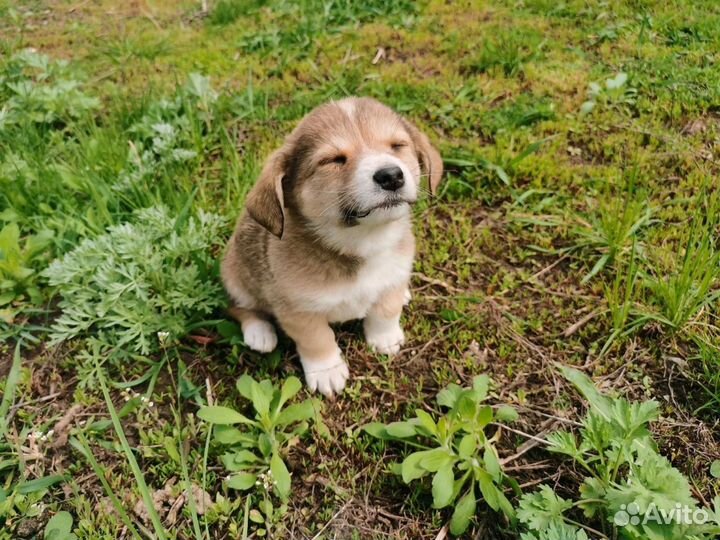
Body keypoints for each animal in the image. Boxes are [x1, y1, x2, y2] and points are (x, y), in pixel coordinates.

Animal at [222, 98, 442, 396]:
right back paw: (259, 333)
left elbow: (385, 310)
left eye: (397, 145)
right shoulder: (299, 311)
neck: (363, 241)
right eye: (333, 160)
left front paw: (385, 337)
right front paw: (327, 371)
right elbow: (318, 339)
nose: (391, 175)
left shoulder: (394, 276)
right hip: (235, 277)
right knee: (239, 307)